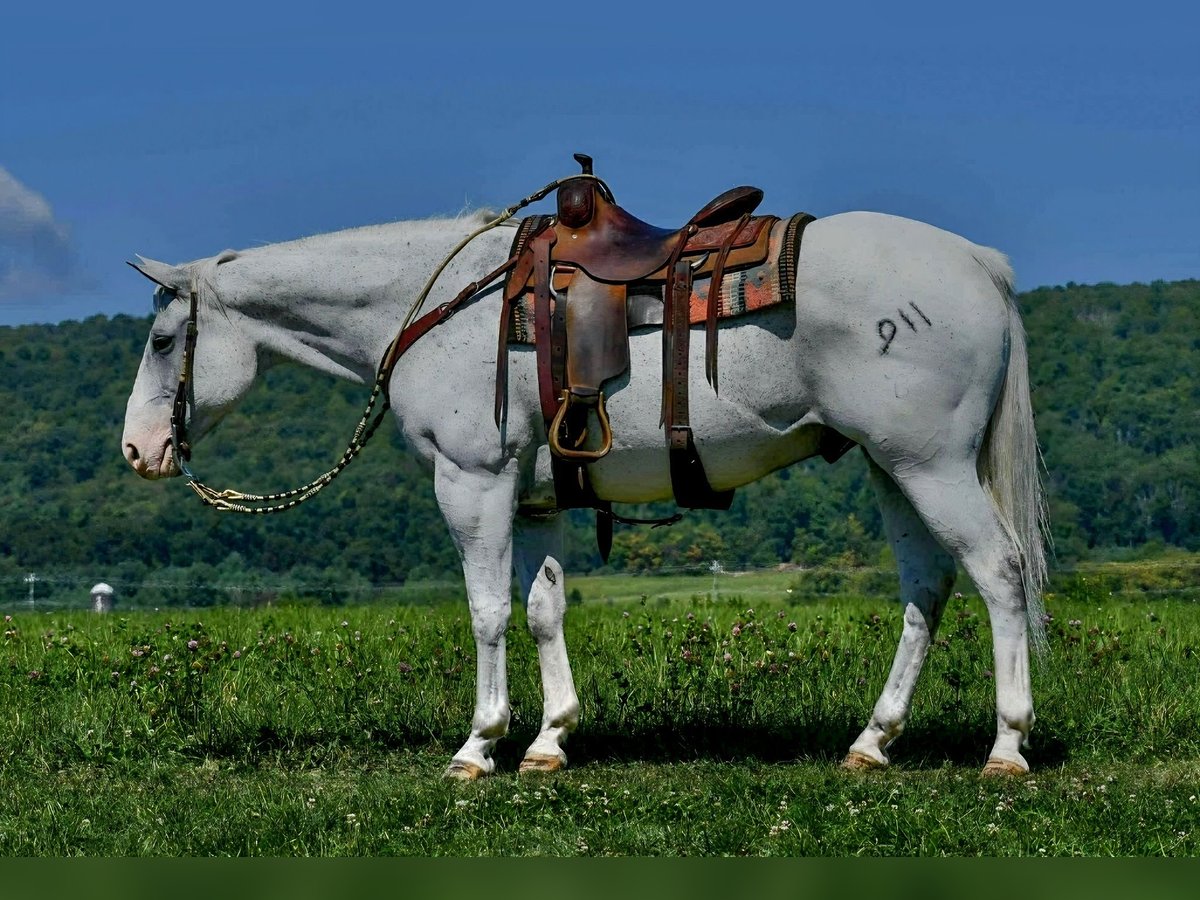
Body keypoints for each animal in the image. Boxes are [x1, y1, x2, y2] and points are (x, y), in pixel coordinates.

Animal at [121, 204, 1049, 779]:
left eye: (166, 340)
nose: (139, 449)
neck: (442, 308)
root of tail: (976, 263)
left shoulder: (473, 481)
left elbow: (487, 612)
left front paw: (479, 746)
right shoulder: (533, 496)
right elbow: (542, 609)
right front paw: (549, 740)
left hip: (931, 464)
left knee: (999, 574)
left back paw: (1006, 746)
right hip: (893, 467)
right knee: (927, 586)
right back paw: (872, 741)